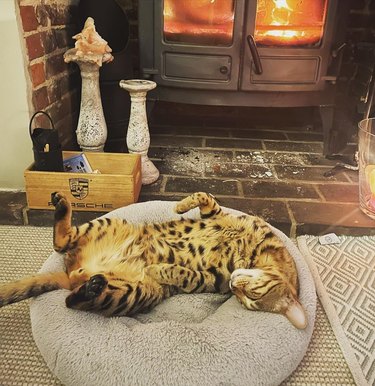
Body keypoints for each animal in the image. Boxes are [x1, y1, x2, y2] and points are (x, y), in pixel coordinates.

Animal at [0, 191, 308, 328]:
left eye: (248, 299)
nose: (234, 286)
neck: (257, 251)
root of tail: (73, 273)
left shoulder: (212, 278)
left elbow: (185, 273)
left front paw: (158, 267)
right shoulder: (217, 214)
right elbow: (204, 196)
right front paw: (180, 206)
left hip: (131, 294)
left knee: (73, 299)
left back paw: (91, 287)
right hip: (106, 223)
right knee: (62, 240)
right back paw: (62, 204)